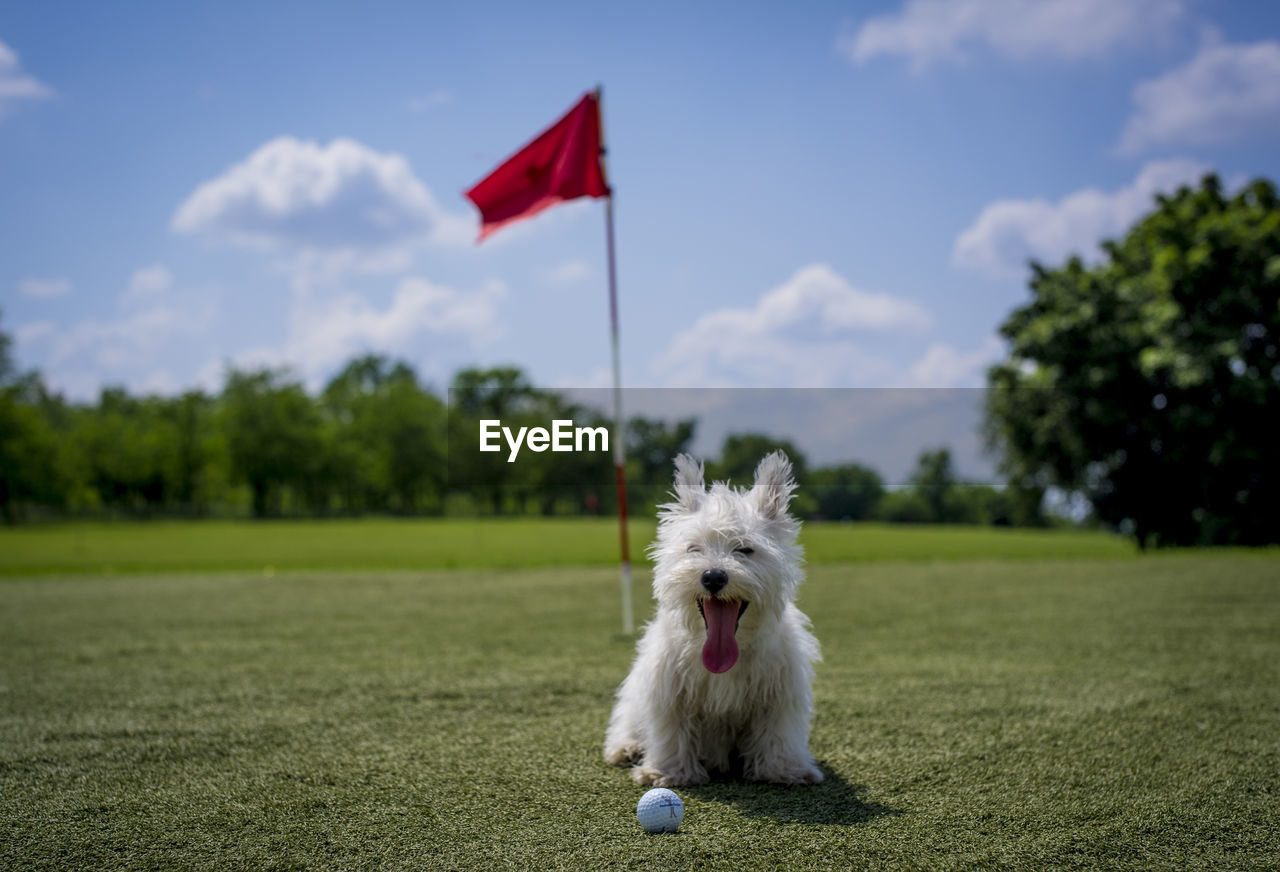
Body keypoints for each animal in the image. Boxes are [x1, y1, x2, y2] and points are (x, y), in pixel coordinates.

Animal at [604, 453, 824, 783]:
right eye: (693, 548)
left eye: (745, 549)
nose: (712, 576)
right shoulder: (669, 688)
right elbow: (672, 730)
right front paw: (669, 771)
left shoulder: (780, 690)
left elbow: (778, 731)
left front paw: (784, 768)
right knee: (627, 722)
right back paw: (626, 748)